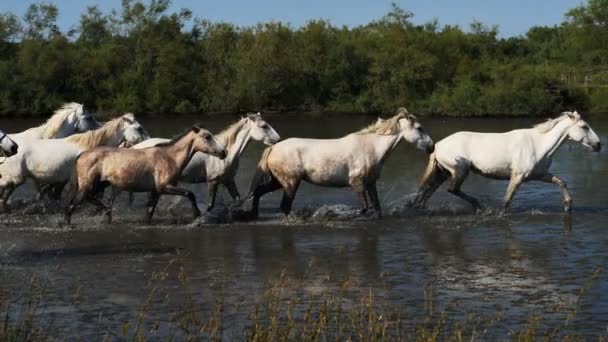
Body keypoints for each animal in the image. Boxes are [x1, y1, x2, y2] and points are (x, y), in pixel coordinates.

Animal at [63, 125, 227, 224]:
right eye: (207, 137)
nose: (224, 152)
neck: (169, 157)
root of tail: (82, 155)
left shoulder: (155, 191)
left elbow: (150, 211)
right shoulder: (164, 187)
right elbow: (189, 194)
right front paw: (197, 215)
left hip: (100, 184)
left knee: (90, 199)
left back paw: (107, 213)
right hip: (87, 185)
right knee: (73, 204)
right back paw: (69, 224)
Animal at [132, 113, 282, 208]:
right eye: (263, 126)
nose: (278, 139)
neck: (227, 153)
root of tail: (135, 147)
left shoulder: (228, 180)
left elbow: (238, 200)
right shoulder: (212, 181)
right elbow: (210, 205)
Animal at [245, 108, 434, 218]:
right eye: (419, 128)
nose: (431, 147)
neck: (372, 148)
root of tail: (273, 147)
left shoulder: (370, 183)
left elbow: (376, 208)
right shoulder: (356, 182)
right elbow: (364, 208)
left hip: (279, 182)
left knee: (259, 193)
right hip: (290, 182)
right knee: (284, 206)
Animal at [414, 112, 604, 212]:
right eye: (585, 127)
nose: (599, 145)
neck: (538, 144)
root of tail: (437, 146)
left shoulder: (540, 175)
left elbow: (561, 182)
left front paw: (568, 205)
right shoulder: (518, 177)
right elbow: (507, 200)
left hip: (442, 173)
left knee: (426, 193)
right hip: (461, 170)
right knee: (452, 189)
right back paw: (479, 205)